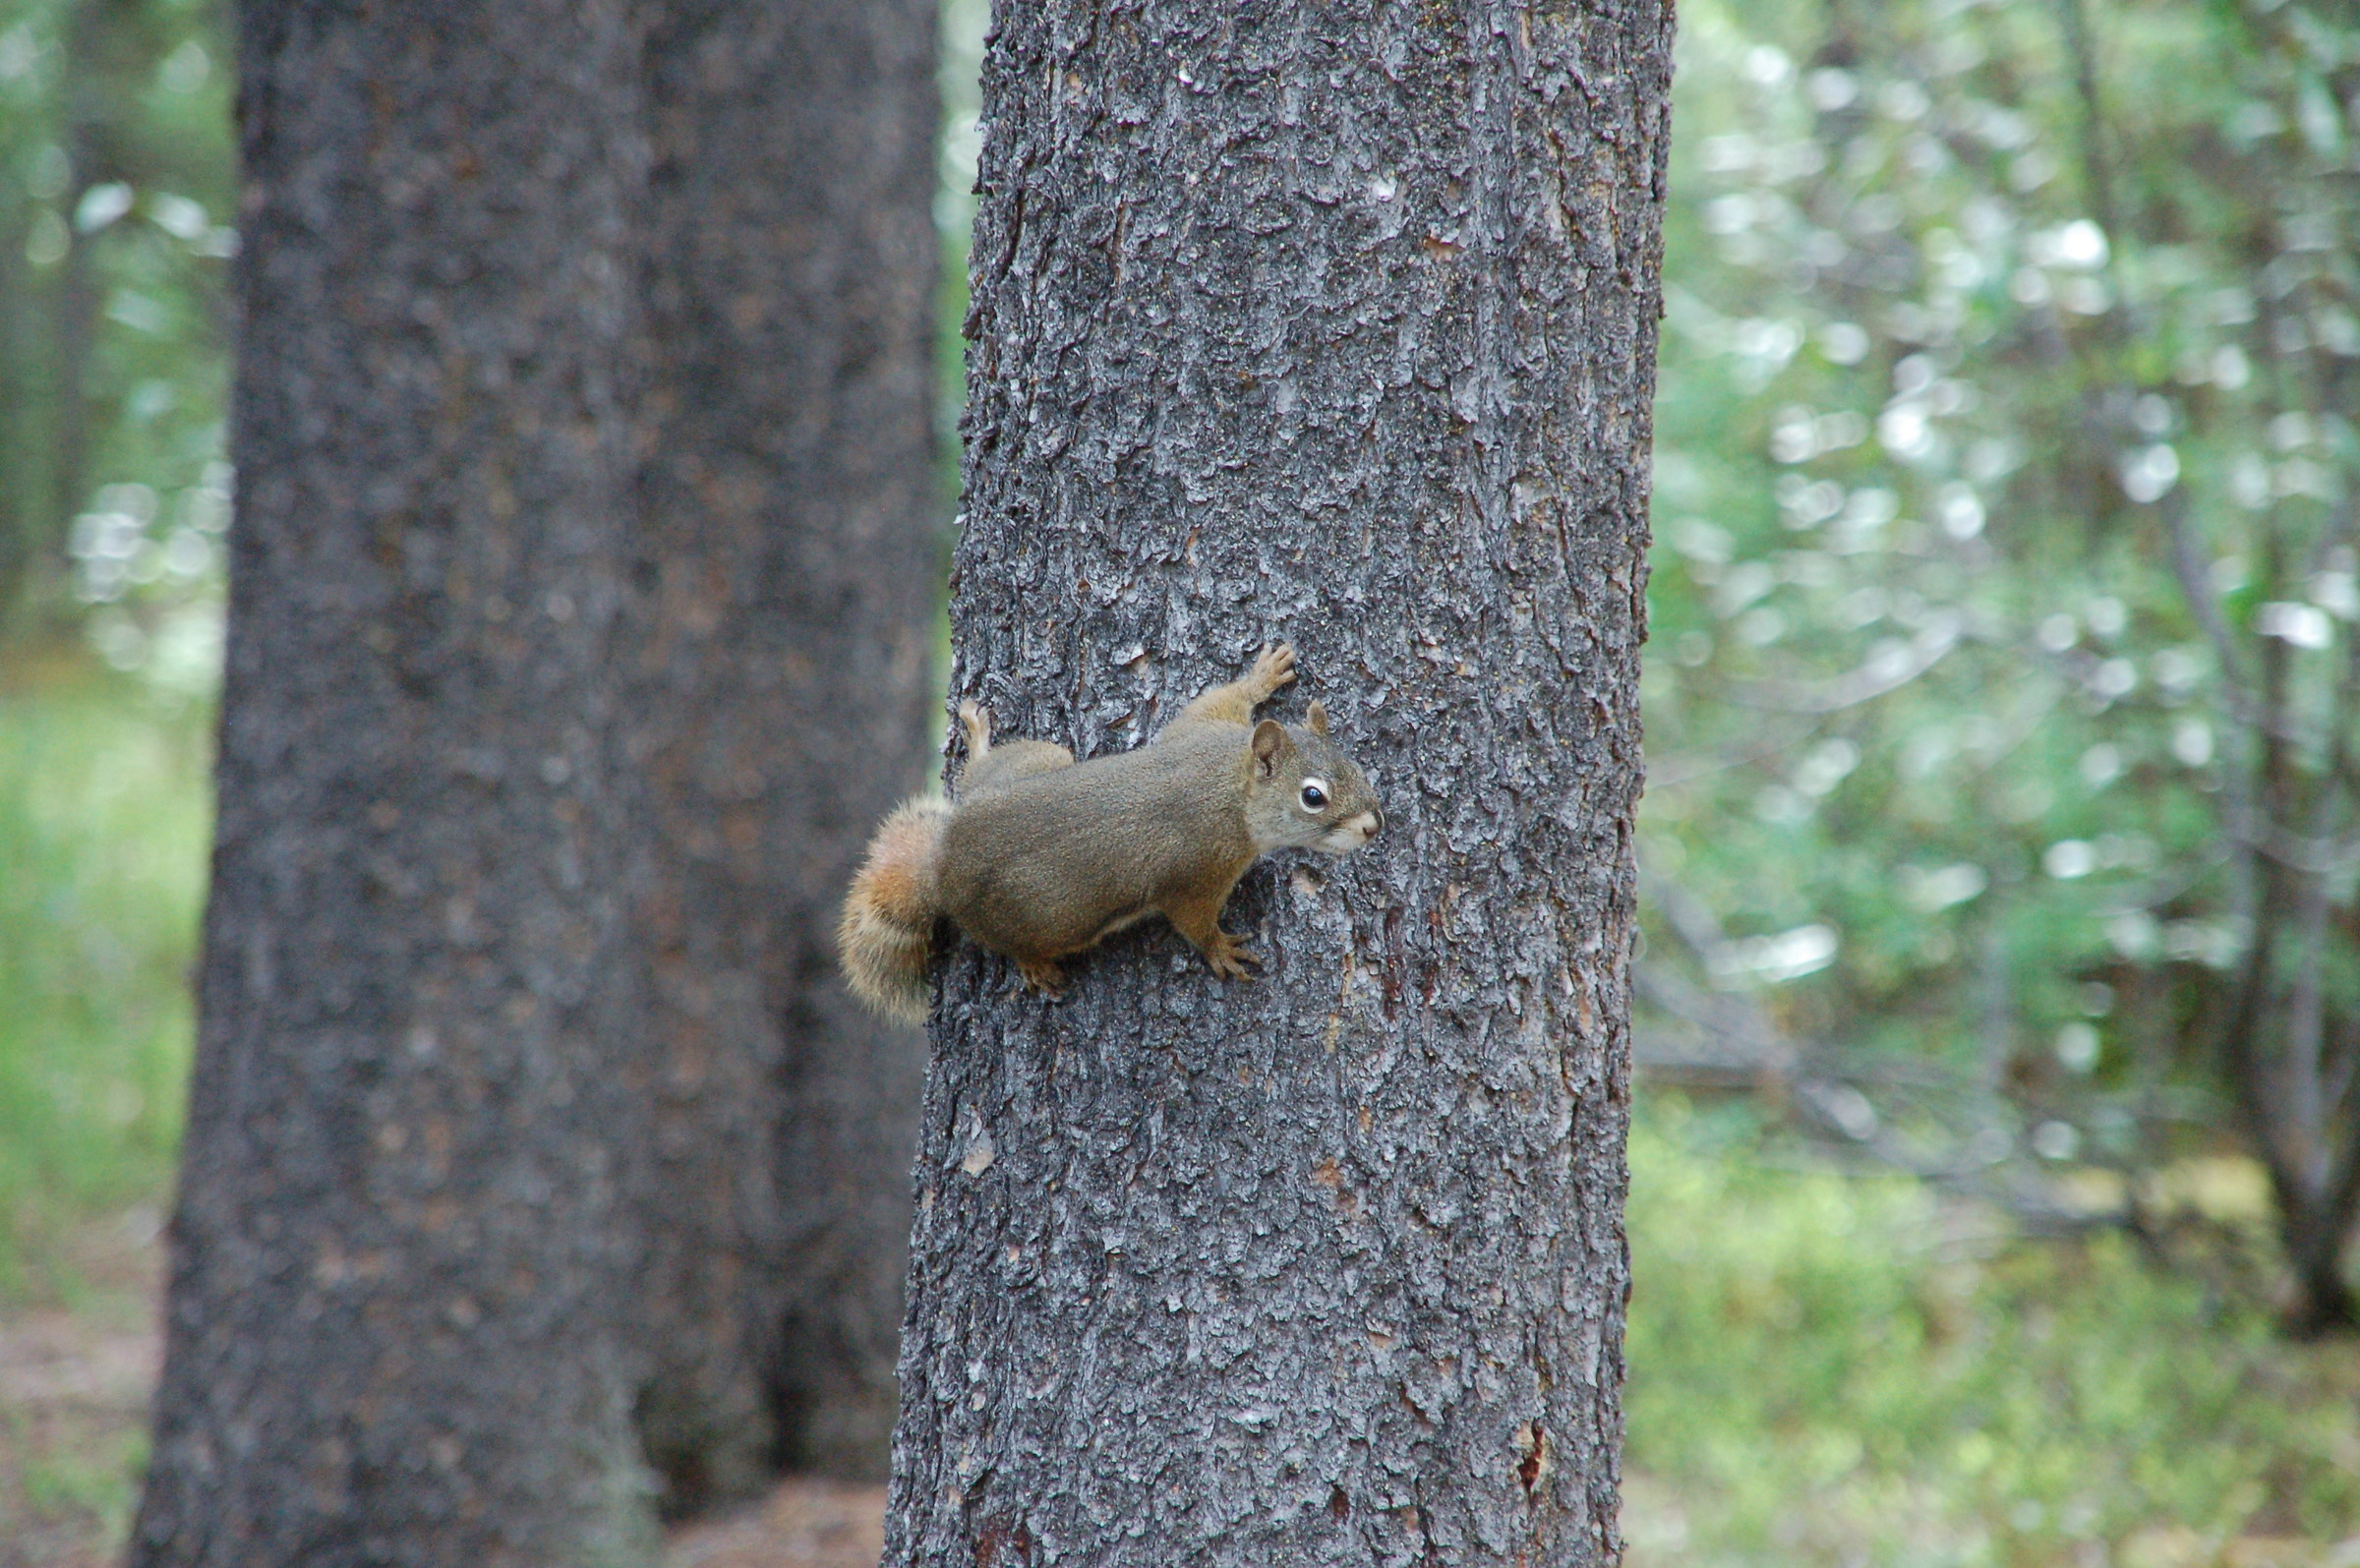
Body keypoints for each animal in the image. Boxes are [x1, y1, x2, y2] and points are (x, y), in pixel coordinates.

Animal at [838, 644, 1383, 1023]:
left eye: (1358, 768)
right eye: (1313, 796)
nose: (1374, 827)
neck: (1229, 781)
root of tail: (940, 866)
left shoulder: (1200, 730)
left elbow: (1214, 701)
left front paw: (1262, 674)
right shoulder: (1195, 870)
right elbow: (1192, 920)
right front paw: (1221, 950)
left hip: (1034, 764)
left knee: (983, 773)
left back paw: (978, 737)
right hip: (1054, 917)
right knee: (1009, 941)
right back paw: (1034, 965)